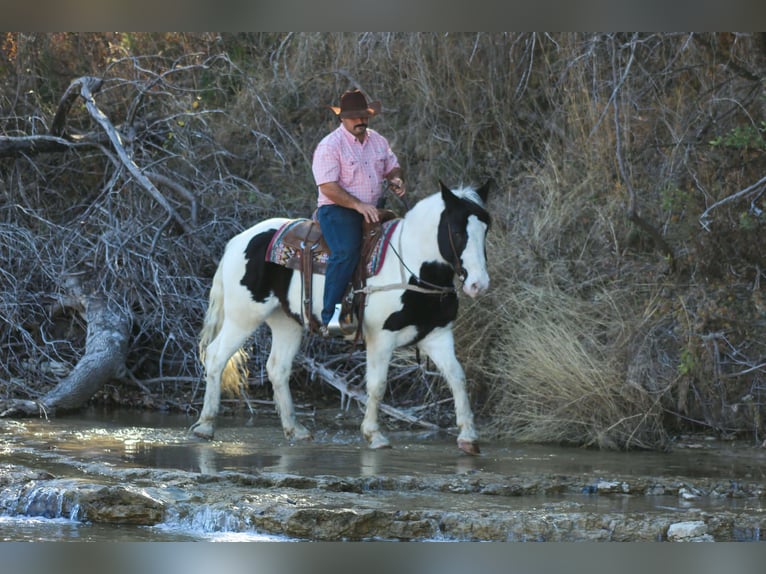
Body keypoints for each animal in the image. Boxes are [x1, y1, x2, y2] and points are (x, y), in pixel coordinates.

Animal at [190, 180, 491, 454]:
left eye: (485, 229)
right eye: (457, 231)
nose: (479, 284)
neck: (413, 269)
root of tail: (238, 240)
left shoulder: (437, 335)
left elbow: (457, 378)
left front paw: (469, 438)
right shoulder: (381, 338)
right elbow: (377, 385)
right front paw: (374, 435)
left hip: (286, 322)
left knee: (277, 368)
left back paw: (296, 430)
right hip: (243, 317)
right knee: (216, 356)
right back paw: (205, 426)